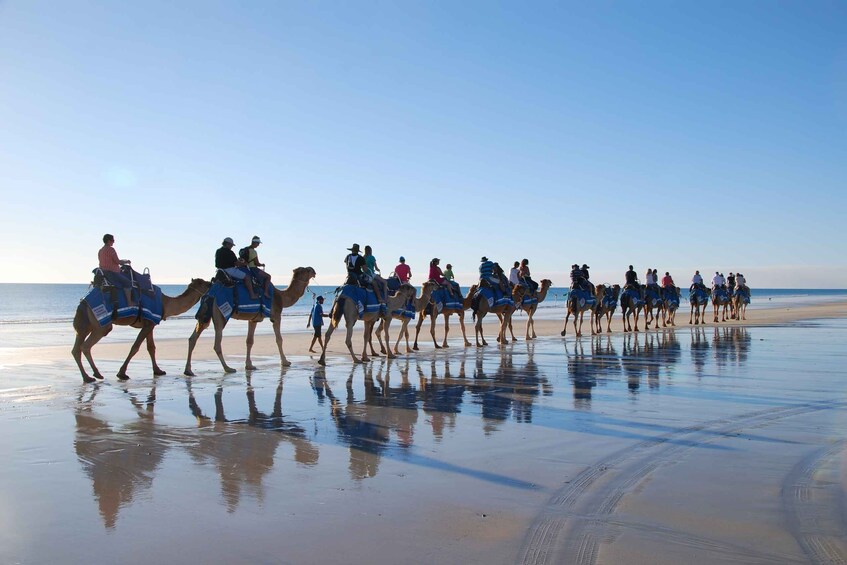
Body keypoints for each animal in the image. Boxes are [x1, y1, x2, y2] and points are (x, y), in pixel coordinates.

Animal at [73, 278, 212, 384]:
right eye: (203, 283)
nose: (211, 282)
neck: (165, 303)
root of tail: (83, 302)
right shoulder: (149, 324)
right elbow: (135, 347)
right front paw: (122, 373)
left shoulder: (150, 323)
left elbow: (151, 347)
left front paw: (158, 371)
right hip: (100, 324)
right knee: (85, 346)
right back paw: (96, 374)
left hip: (86, 324)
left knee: (76, 349)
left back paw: (87, 377)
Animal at [184, 268, 316, 376]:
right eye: (306, 270)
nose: (313, 270)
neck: (281, 296)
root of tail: (209, 294)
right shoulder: (276, 316)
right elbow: (279, 339)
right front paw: (285, 361)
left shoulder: (253, 319)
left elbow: (249, 341)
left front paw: (249, 365)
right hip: (220, 313)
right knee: (217, 343)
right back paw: (228, 368)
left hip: (205, 315)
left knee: (193, 338)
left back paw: (188, 370)